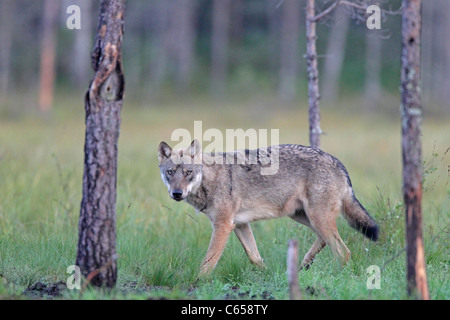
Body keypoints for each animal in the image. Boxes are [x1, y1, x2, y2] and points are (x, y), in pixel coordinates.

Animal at [158, 140, 380, 278]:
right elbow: (254, 257)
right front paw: (268, 275)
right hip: (304, 217)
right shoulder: (240, 225)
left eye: (188, 172)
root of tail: (338, 163)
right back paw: (303, 265)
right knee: (326, 240)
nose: (177, 193)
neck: (210, 180)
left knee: (343, 251)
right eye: (170, 172)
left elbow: (208, 262)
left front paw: (198, 283)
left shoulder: (222, 226)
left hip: (316, 218)